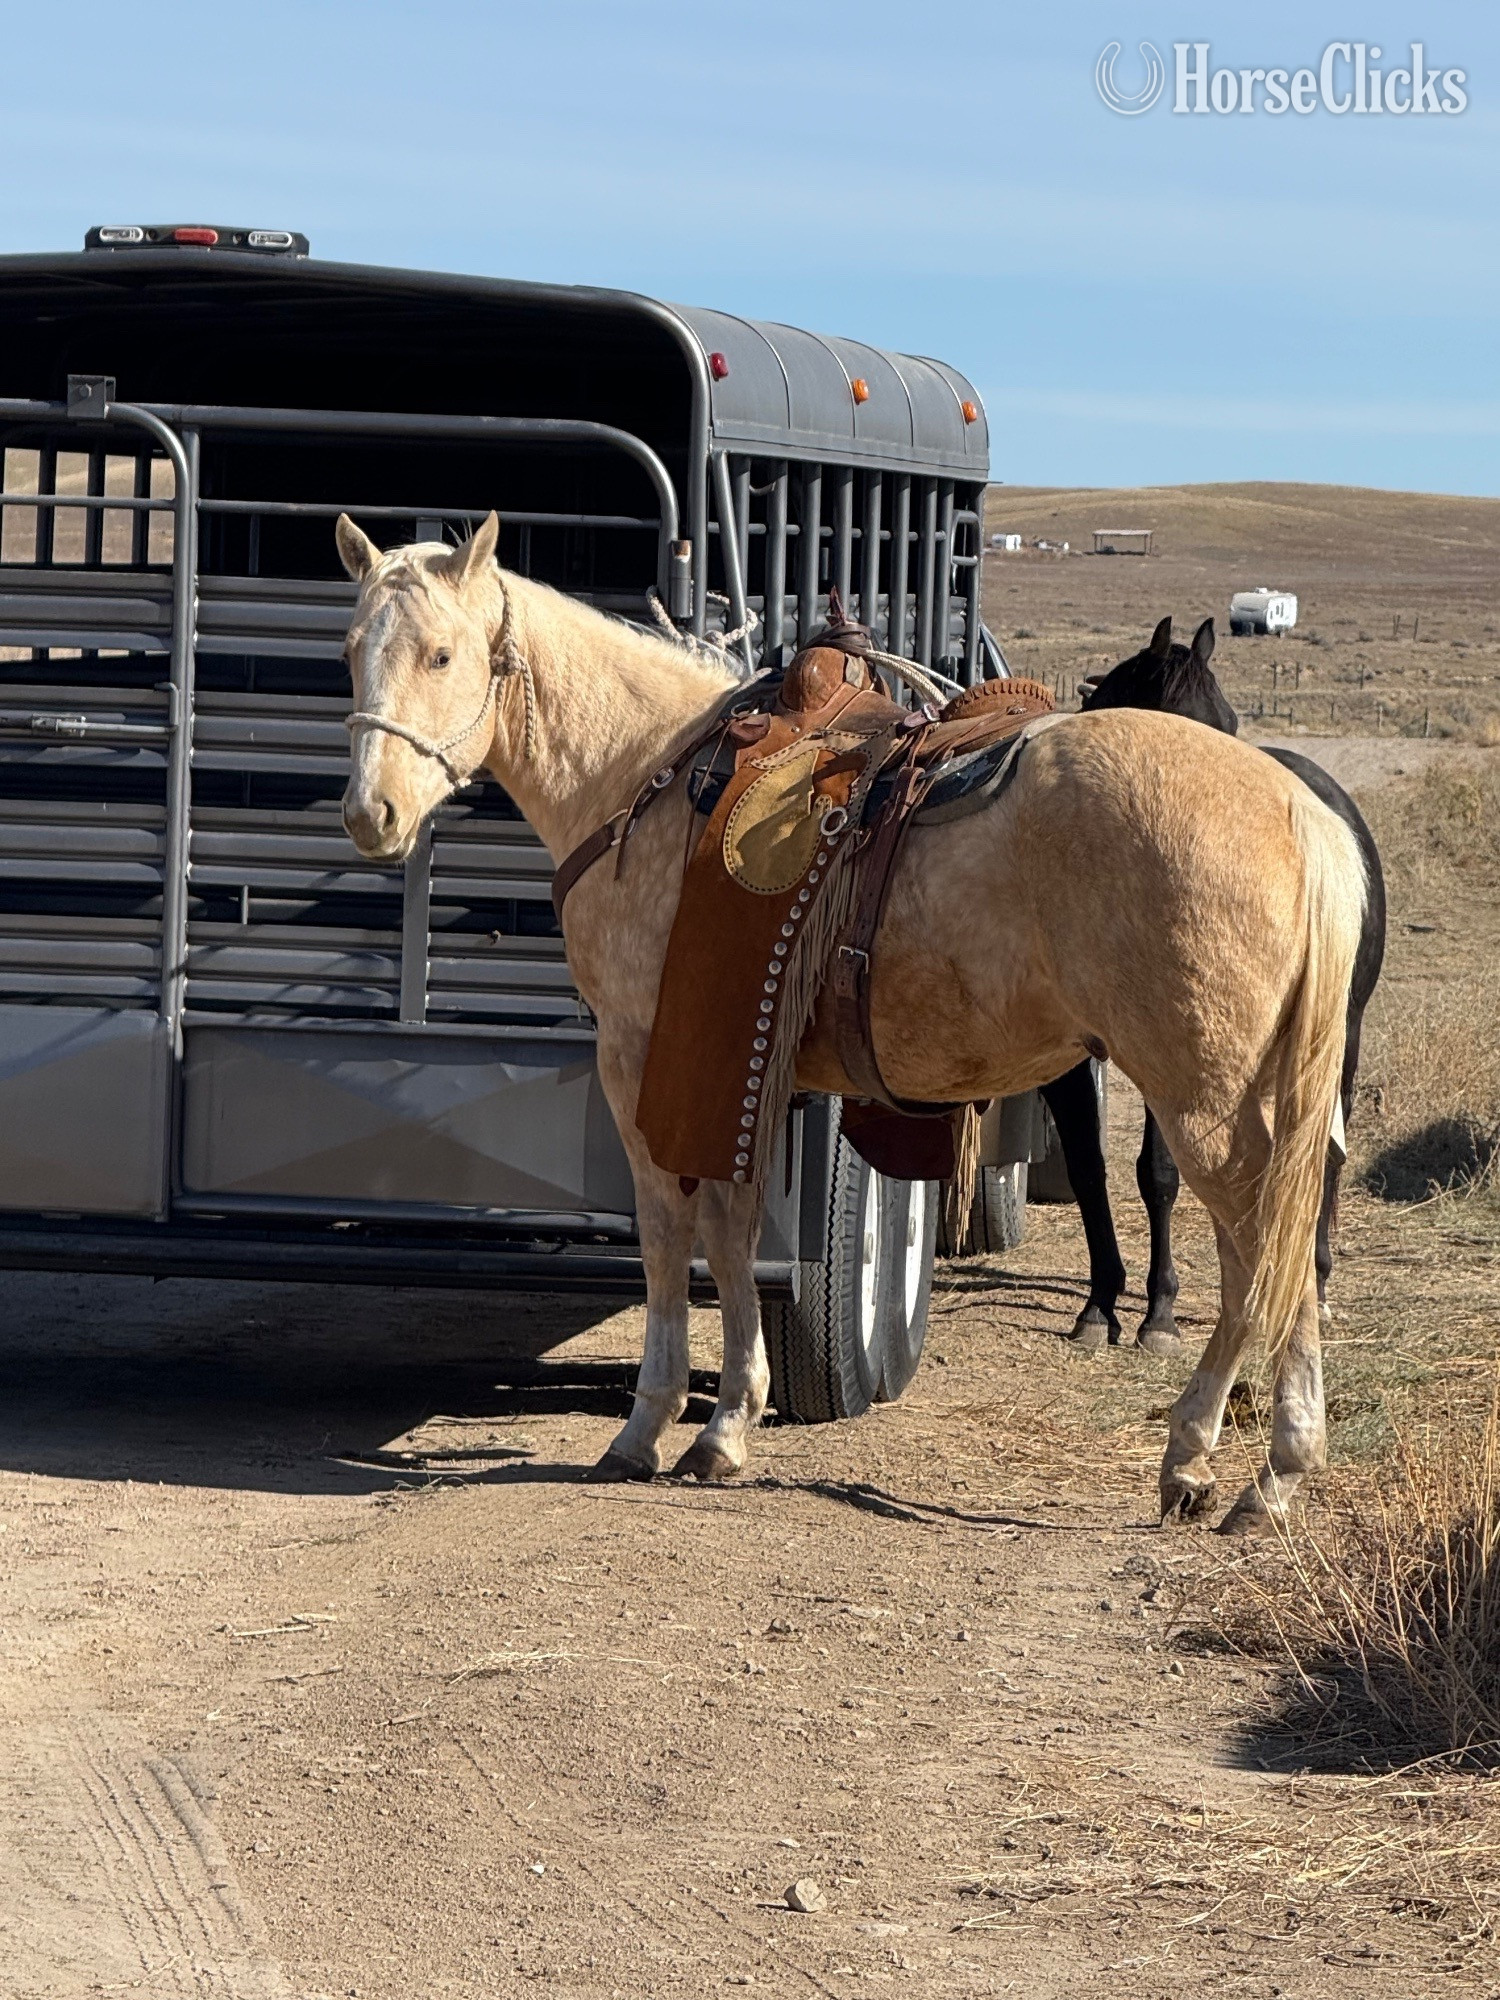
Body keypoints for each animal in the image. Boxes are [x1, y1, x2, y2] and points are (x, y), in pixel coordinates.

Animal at [1036, 616, 1387, 1354]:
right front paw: (1100, 1303)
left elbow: (1160, 1172)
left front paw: (1160, 1311)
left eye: (1227, 724)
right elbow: (1086, 1164)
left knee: (1324, 1153)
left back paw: (1314, 1278)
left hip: (1340, 1035)